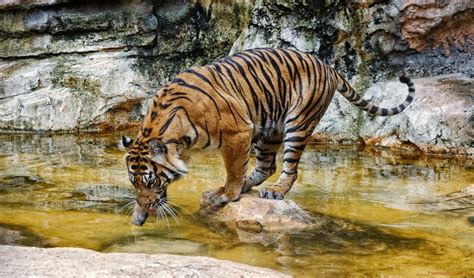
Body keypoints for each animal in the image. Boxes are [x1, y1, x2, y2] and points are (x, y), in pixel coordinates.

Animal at [122, 47, 414, 226]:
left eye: (151, 180)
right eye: (135, 183)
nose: (145, 205)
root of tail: (327, 65)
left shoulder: (238, 132)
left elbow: (234, 169)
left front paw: (227, 195)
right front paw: (139, 213)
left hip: (298, 122)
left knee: (289, 169)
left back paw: (274, 191)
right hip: (270, 129)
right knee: (266, 166)